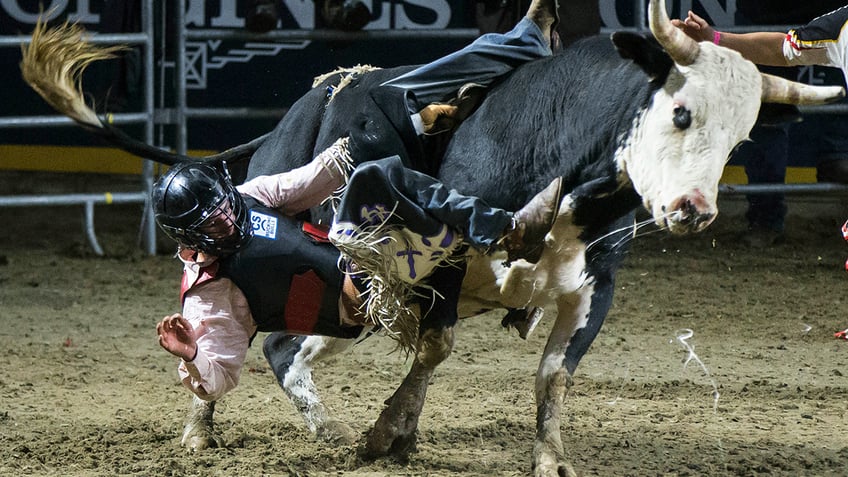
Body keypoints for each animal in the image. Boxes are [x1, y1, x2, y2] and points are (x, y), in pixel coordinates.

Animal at [23, 1, 844, 474]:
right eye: (680, 112)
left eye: (741, 136)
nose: (692, 209)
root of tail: (291, 120)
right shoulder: (436, 269)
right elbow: (435, 348)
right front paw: (386, 431)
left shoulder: (594, 287)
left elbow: (554, 375)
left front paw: (548, 459)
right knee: (245, 341)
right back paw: (205, 432)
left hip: (352, 294)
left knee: (290, 345)